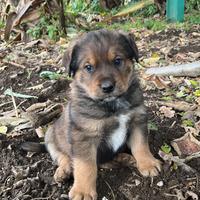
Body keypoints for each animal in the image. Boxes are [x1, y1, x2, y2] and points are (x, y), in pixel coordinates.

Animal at [44, 28, 160, 199]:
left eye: (117, 60)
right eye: (88, 67)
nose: (107, 87)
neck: (112, 105)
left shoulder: (137, 120)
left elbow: (141, 145)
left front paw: (148, 163)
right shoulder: (84, 137)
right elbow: (86, 166)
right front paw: (83, 191)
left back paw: (123, 157)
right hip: (50, 136)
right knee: (62, 156)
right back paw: (64, 171)